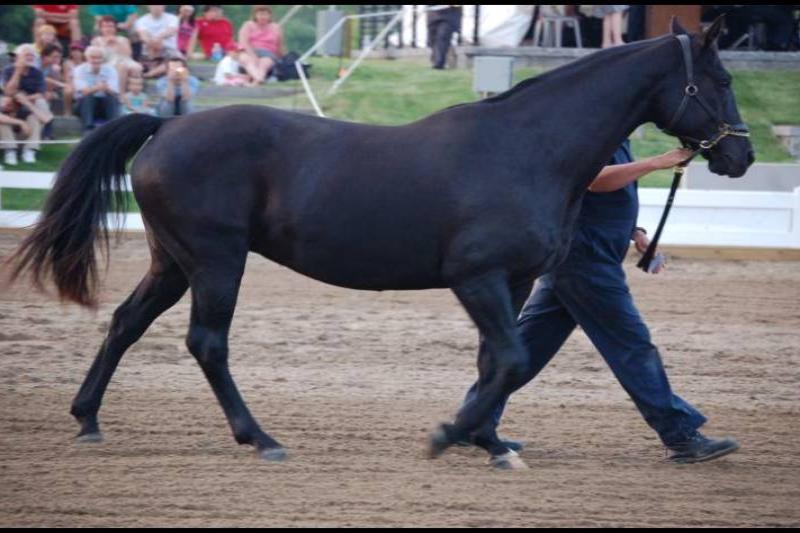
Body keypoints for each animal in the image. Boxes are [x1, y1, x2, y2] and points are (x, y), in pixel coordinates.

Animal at [9, 18, 753, 468]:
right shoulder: (477, 278)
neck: (527, 148)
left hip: (173, 261)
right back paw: (261, 438)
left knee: (126, 323)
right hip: (217, 260)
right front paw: (448, 435)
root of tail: (163, 127)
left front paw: (488, 438)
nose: (740, 156)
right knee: (207, 343)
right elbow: (510, 357)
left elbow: (498, 359)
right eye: (720, 81)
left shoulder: (511, 282)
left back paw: (88, 419)